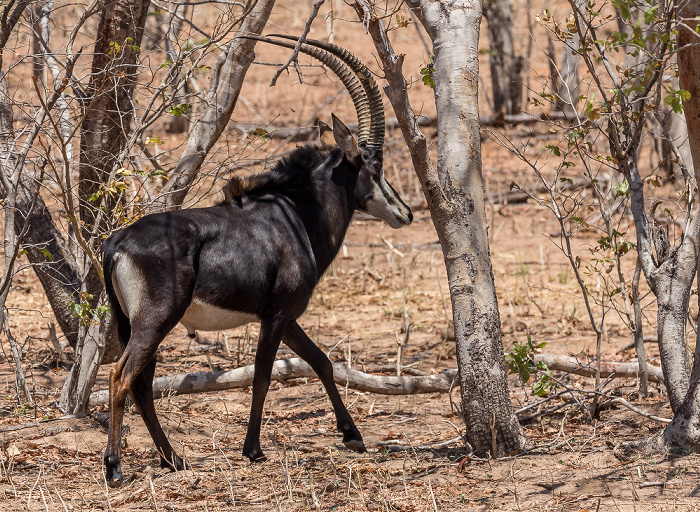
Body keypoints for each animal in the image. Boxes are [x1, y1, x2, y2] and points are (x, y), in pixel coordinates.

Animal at [101, 35, 412, 484]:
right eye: (376, 166)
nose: (405, 213)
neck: (295, 212)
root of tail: (116, 243)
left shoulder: (286, 316)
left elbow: (322, 362)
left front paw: (352, 435)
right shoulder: (277, 315)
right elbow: (264, 377)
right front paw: (253, 449)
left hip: (130, 323)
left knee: (141, 385)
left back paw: (173, 459)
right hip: (155, 320)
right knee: (120, 376)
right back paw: (115, 467)